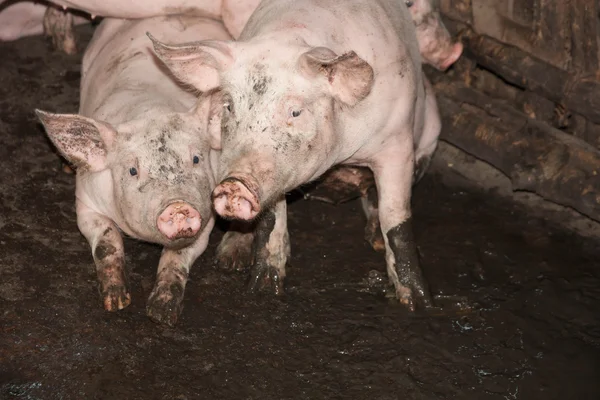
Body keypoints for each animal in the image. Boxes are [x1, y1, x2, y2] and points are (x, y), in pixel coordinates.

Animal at [35, 16, 229, 328]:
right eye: (133, 170)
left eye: (197, 159)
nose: (177, 205)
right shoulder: (86, 201)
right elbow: (106, 242)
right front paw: (116, 303)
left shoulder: (207, 217)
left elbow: (178, 256)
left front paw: (161, 313)